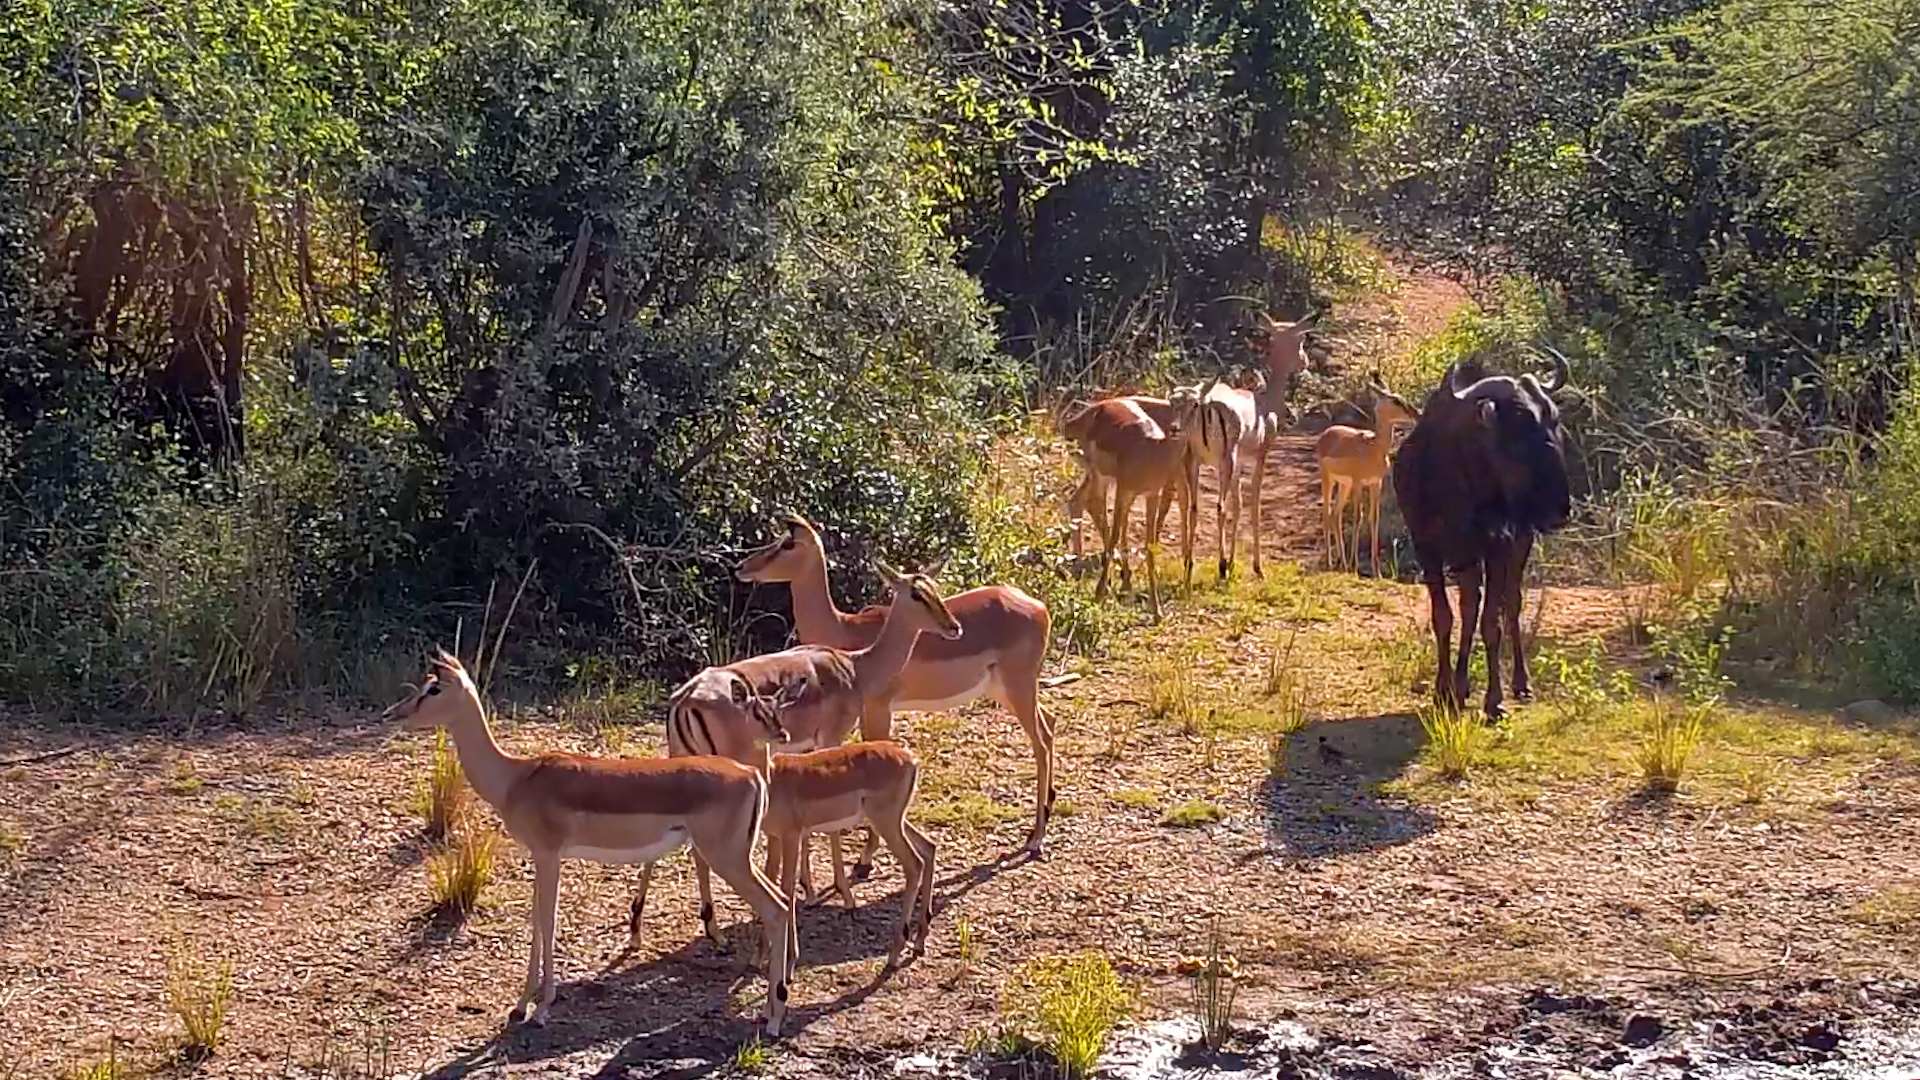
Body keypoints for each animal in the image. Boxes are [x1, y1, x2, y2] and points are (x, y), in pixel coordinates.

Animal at [381, 652, 794, 1034]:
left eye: (434, 688)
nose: (392, 714)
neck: (516, 777)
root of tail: (752, 774)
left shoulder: (548, 854)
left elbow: (546, 921)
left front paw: (539, 1009)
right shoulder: (544, 857)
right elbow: (539, 921)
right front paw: (521, 1007)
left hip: (727, 858)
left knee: (774, 908)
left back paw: (774, 1017)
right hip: (738, 857)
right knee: (783, 901)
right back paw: (775, 1001)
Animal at [632, 560, 961, 946]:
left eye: (934, 588)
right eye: (916, 594)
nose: (953, 627)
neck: (854, 667)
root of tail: (687, 698)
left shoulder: (805, 750)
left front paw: (809, 889)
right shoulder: (830, 739)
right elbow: (829, 828)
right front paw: (842, 894)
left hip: (680, 763)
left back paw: (644, 928)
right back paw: (711, 928)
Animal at [736, 516, 1059, 866]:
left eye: (788, 543)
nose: (742, 566)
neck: (848, 634)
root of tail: (1040, 607)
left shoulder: (879, 708)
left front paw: (864, 860)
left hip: (1018, 686)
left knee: (1040, 740)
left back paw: (1036, 839)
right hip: (1005, 689)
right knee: (1049, 724)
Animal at [1058, 378, 1217, 617]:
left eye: (1195, 403)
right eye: (1173, 400)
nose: (1175, 428)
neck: (1151, 451)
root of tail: (1072, 422)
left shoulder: (1151, 494)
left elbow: (1150, 545)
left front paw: (1157, 610)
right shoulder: (1124, 488)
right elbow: (1115, 534)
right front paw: (1098, 595)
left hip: (1107, 481)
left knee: (1082, 502)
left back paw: (1116, 579)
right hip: (1100, 476)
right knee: (1089, 504)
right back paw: (1092, 575)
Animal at [1314, 373, 1421, 575]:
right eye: (1395, 400)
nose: (1416, 413)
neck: (1374, 448)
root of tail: (1326, 434)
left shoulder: (1375, 483)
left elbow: (1374, 519)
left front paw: (1376, 571)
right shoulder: (1358, 482)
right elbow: (1358, 518)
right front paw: (1355, 566)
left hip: (1344, 485)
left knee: (1336, 515)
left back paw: (1343, 564)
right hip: (1329, 479)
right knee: (1326, 513)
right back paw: (1331, 563)